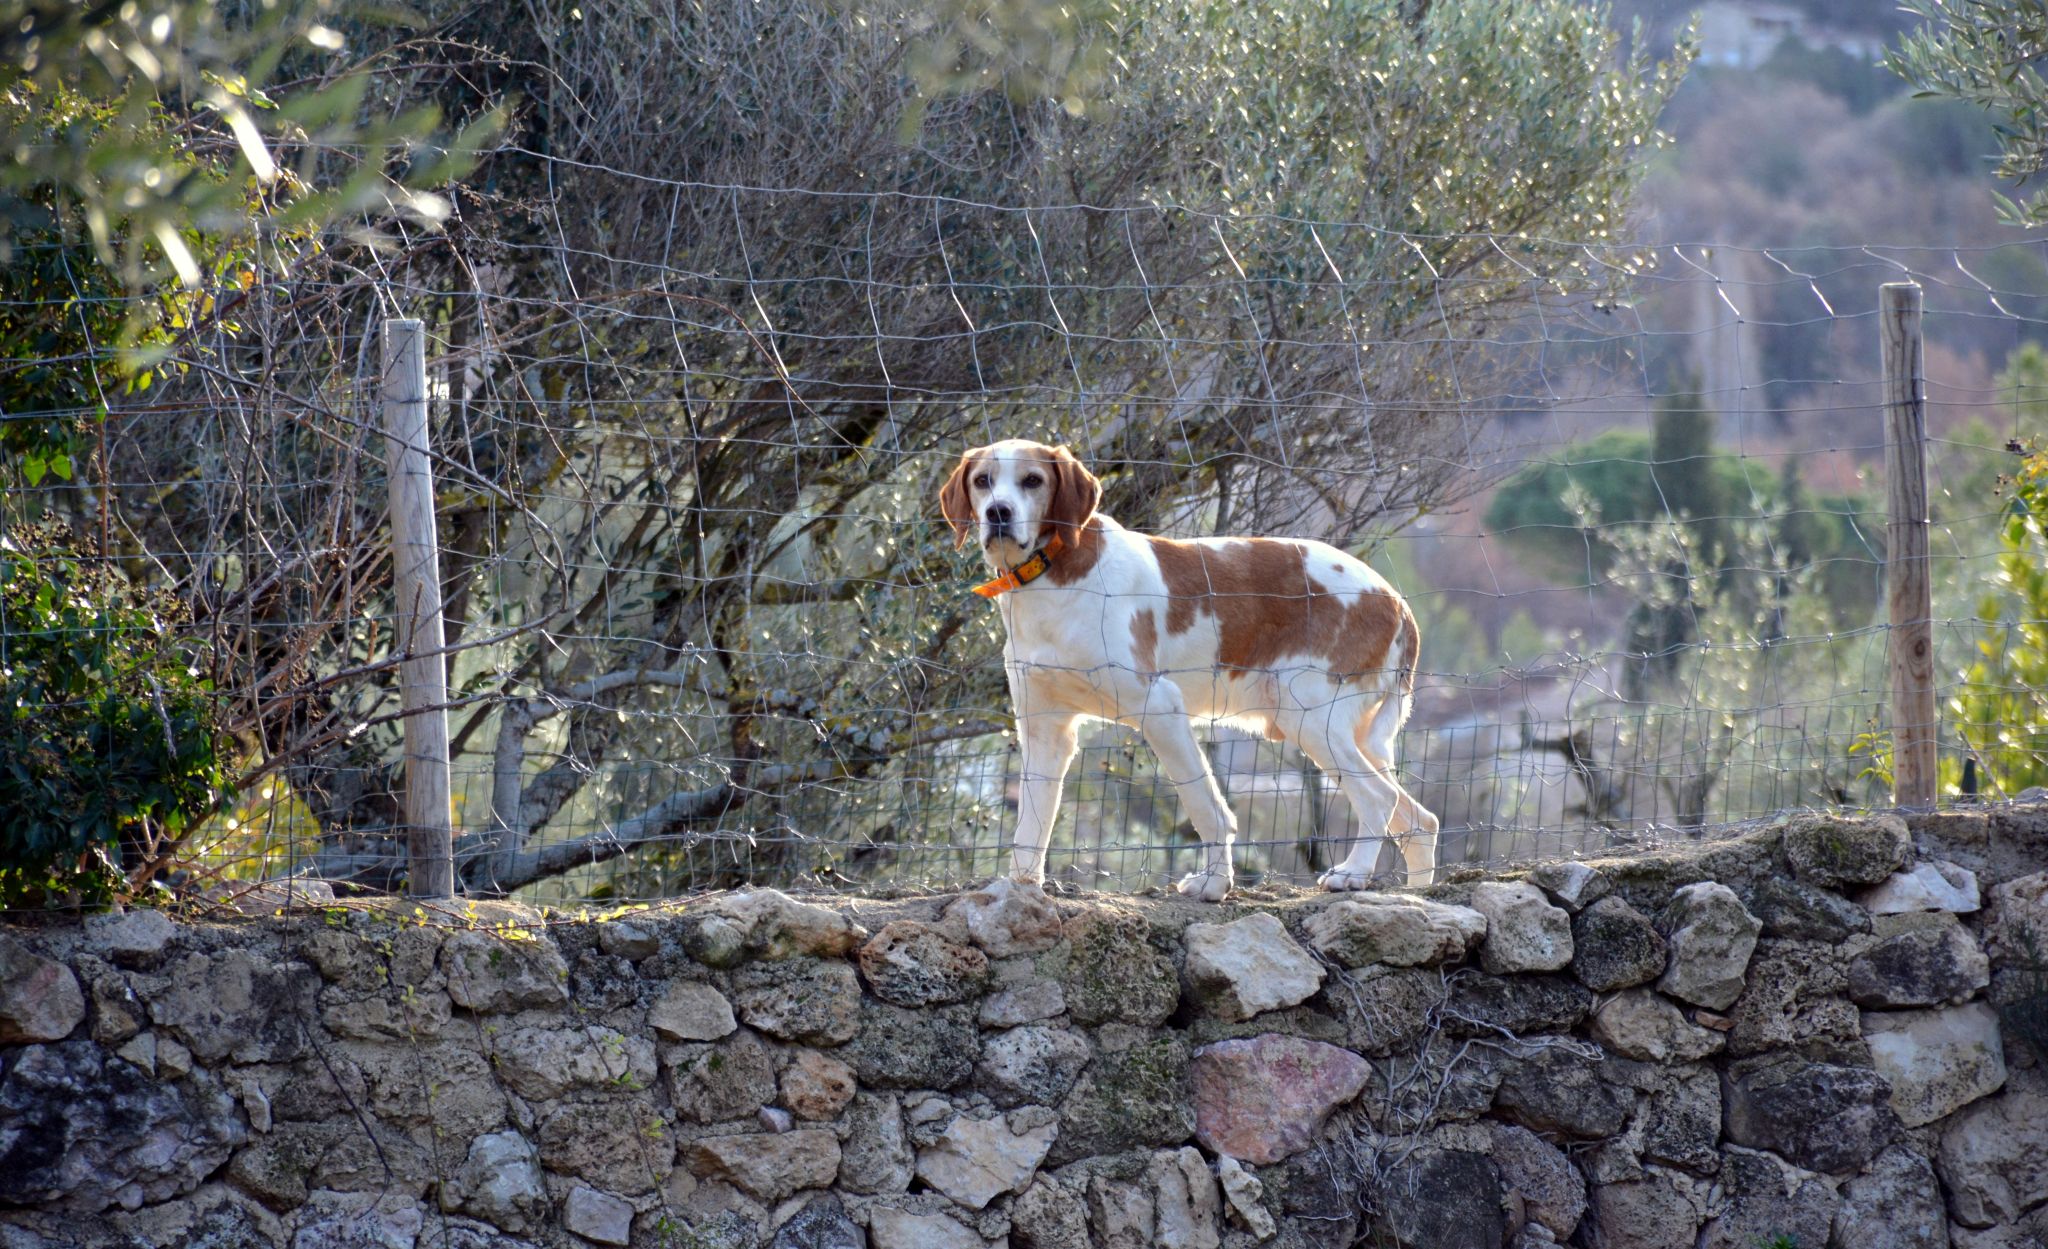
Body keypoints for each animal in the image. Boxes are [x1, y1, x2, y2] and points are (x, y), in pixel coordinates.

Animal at [940, 439, 1439, 901]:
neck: (1053, 573)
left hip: (1311, 719)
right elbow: (1031, 825)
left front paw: (1215, 884)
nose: (998, 512)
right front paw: (1020, 889)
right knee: (1420, 820)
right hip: (1342, 734)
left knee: (1380, 798)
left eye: (1032, 481)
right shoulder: (1046, 730)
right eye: (982, 481)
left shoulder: (1160, 709)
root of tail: (1394, 599)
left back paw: (1353, 873)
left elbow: (1207, 809)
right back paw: (1415, 893)